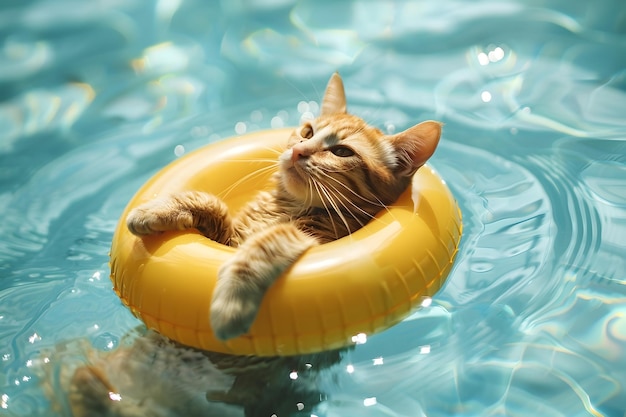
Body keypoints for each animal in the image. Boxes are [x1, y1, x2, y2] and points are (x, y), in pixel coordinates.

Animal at [125, 73, 438, 342]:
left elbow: (263, 245)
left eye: (341, 151)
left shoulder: (311, 239)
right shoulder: (227, 236)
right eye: (308, 132)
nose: (299, 151)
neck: (286, 207)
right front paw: (154, 211)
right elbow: (211, 204)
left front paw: (230, 304)